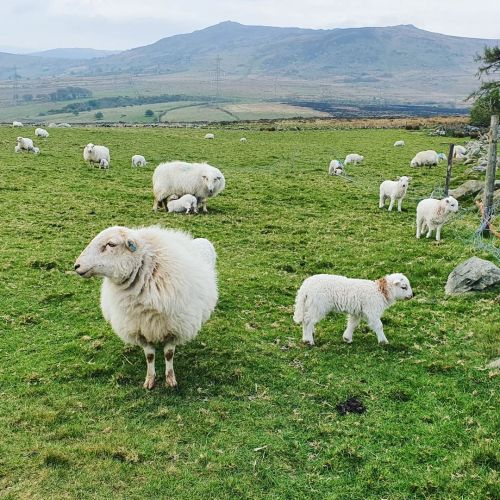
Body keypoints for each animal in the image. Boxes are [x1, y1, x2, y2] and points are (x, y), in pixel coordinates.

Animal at [73, 226, 218, 390]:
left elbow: (169, 354)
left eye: (111, 244)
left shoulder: (174, 329)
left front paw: (170, 379)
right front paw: (150, 380)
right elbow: (149, 356)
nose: (76, 266)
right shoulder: (141, 329)